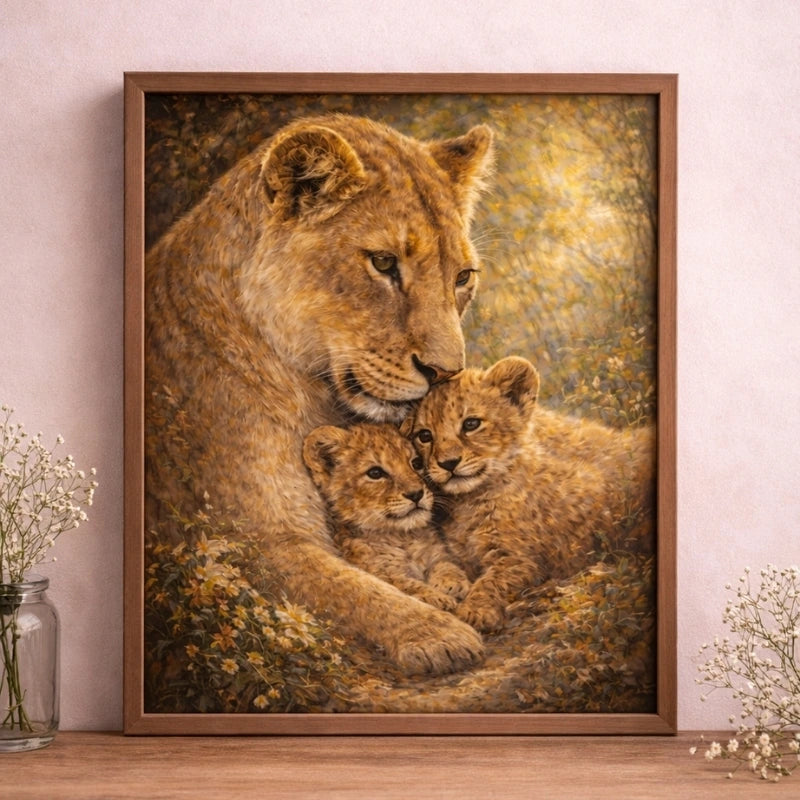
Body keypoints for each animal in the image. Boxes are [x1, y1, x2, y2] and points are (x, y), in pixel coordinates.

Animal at [303, 422, 471, 612]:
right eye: (375, 473)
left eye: (416, 463)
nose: (416, 494)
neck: (403, 537)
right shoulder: (376, 572)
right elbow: (403, 584)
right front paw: (439, 598)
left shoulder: (435, 554)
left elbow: (445, 563)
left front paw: (452, 582)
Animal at [410, 356, 656, 633]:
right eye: (424, 435)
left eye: (471, 424)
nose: (448, 463)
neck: (469, 501)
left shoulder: (523, 558)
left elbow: (494, 580)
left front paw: (476, 610)